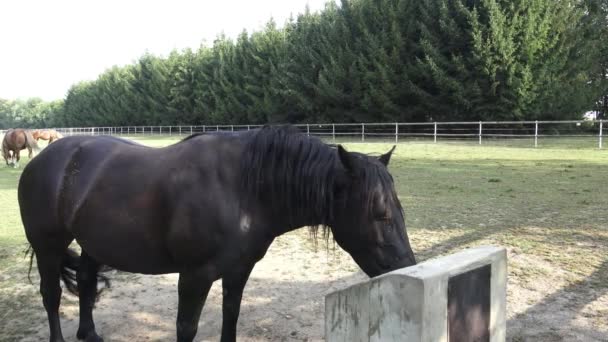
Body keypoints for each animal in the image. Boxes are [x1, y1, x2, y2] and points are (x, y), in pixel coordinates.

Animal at [19, 126, 418, 342]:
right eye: (381, 214)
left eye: (400, 211)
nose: (407, 266)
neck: (241, 189)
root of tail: (44, 159)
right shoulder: (194, 276)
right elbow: (186, 327)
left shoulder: (238, 270)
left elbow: (231, 315)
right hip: (48, 246)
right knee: (52, 296)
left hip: (93, 243)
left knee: (86, 283)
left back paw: (89, 332)